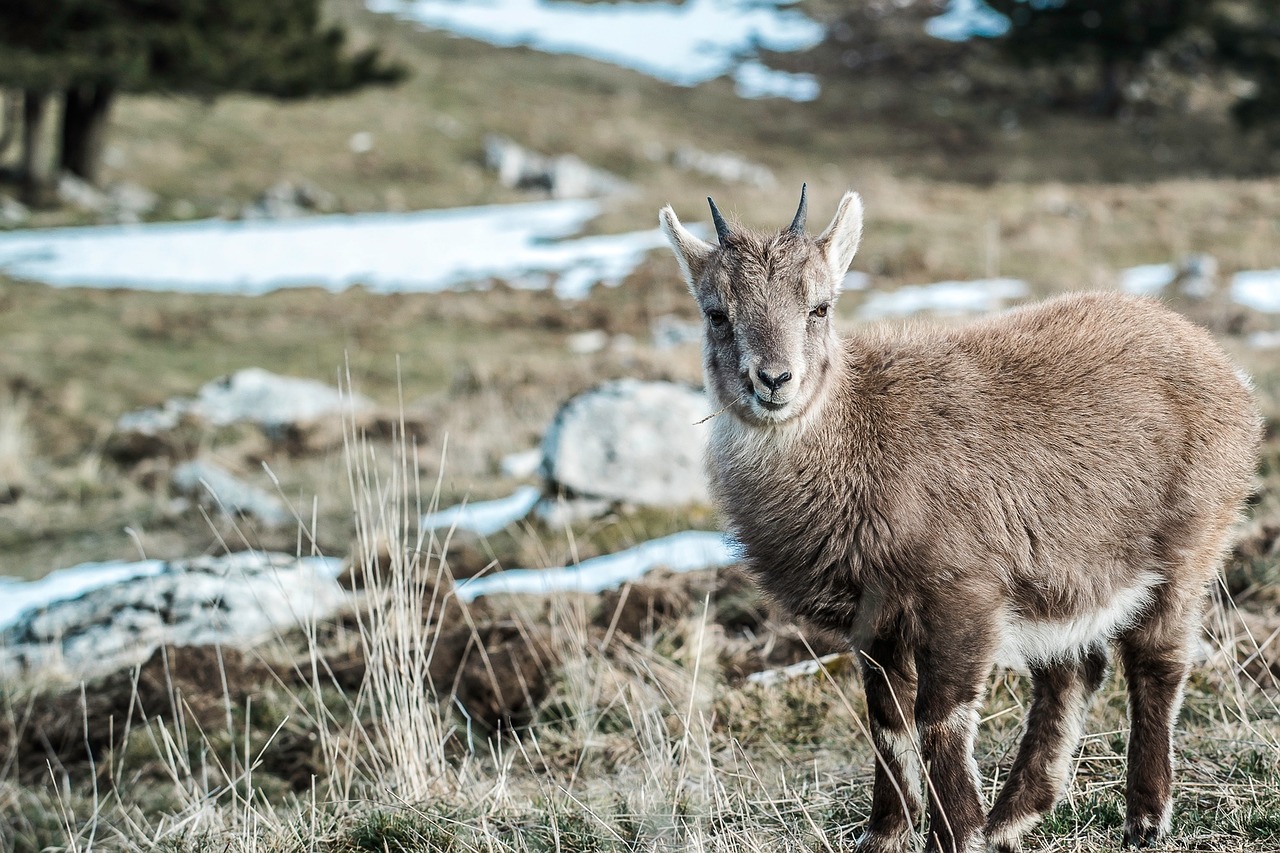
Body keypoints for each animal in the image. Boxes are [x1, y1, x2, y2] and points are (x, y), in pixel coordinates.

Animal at [660, 188, 1259, 850]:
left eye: (819, 306)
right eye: (717, 313)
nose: (773, 380)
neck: (855, 441)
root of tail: (1224, 369)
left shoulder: (961, 595)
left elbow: (939, 720)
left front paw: (958, 833)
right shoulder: (876, 622)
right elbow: (888, 723)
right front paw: (887, 834)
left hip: (1189, 544)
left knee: (1156, 660)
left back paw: (1144, 818)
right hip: (1062, 578)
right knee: (1074, 670)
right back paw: (1013, 816)